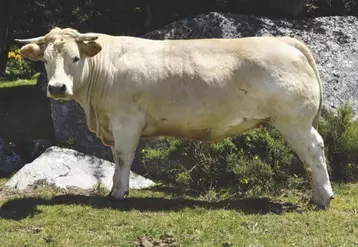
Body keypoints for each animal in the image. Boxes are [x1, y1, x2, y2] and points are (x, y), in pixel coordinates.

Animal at [16, 26, 334, 208]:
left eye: (75, 58)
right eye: (46, 60)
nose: (57, 88)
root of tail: (286, 41)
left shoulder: (126, 121)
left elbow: (123, 157)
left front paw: (119, 194)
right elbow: (116, 159)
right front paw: (114, 189)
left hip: (295, 121)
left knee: (314, 151)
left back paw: (325, 197)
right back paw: (316, 196)